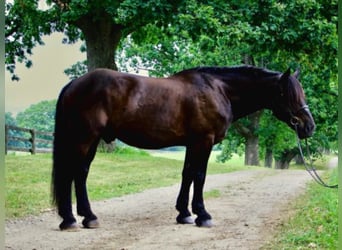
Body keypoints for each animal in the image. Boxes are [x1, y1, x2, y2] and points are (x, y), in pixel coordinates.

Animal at [51, 66, 316, 230]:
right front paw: (203, 215)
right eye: (289, 94)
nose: (309, 126)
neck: (219, 90)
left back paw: (83, 217)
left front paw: (184, 214)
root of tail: (74, 84)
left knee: (80, 173)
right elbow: (199, 175)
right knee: (73, 173)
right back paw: (75, 219)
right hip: (85, 138)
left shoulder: (192, 143)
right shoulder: (204, 141)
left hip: (90, 141)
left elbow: (187, 174)